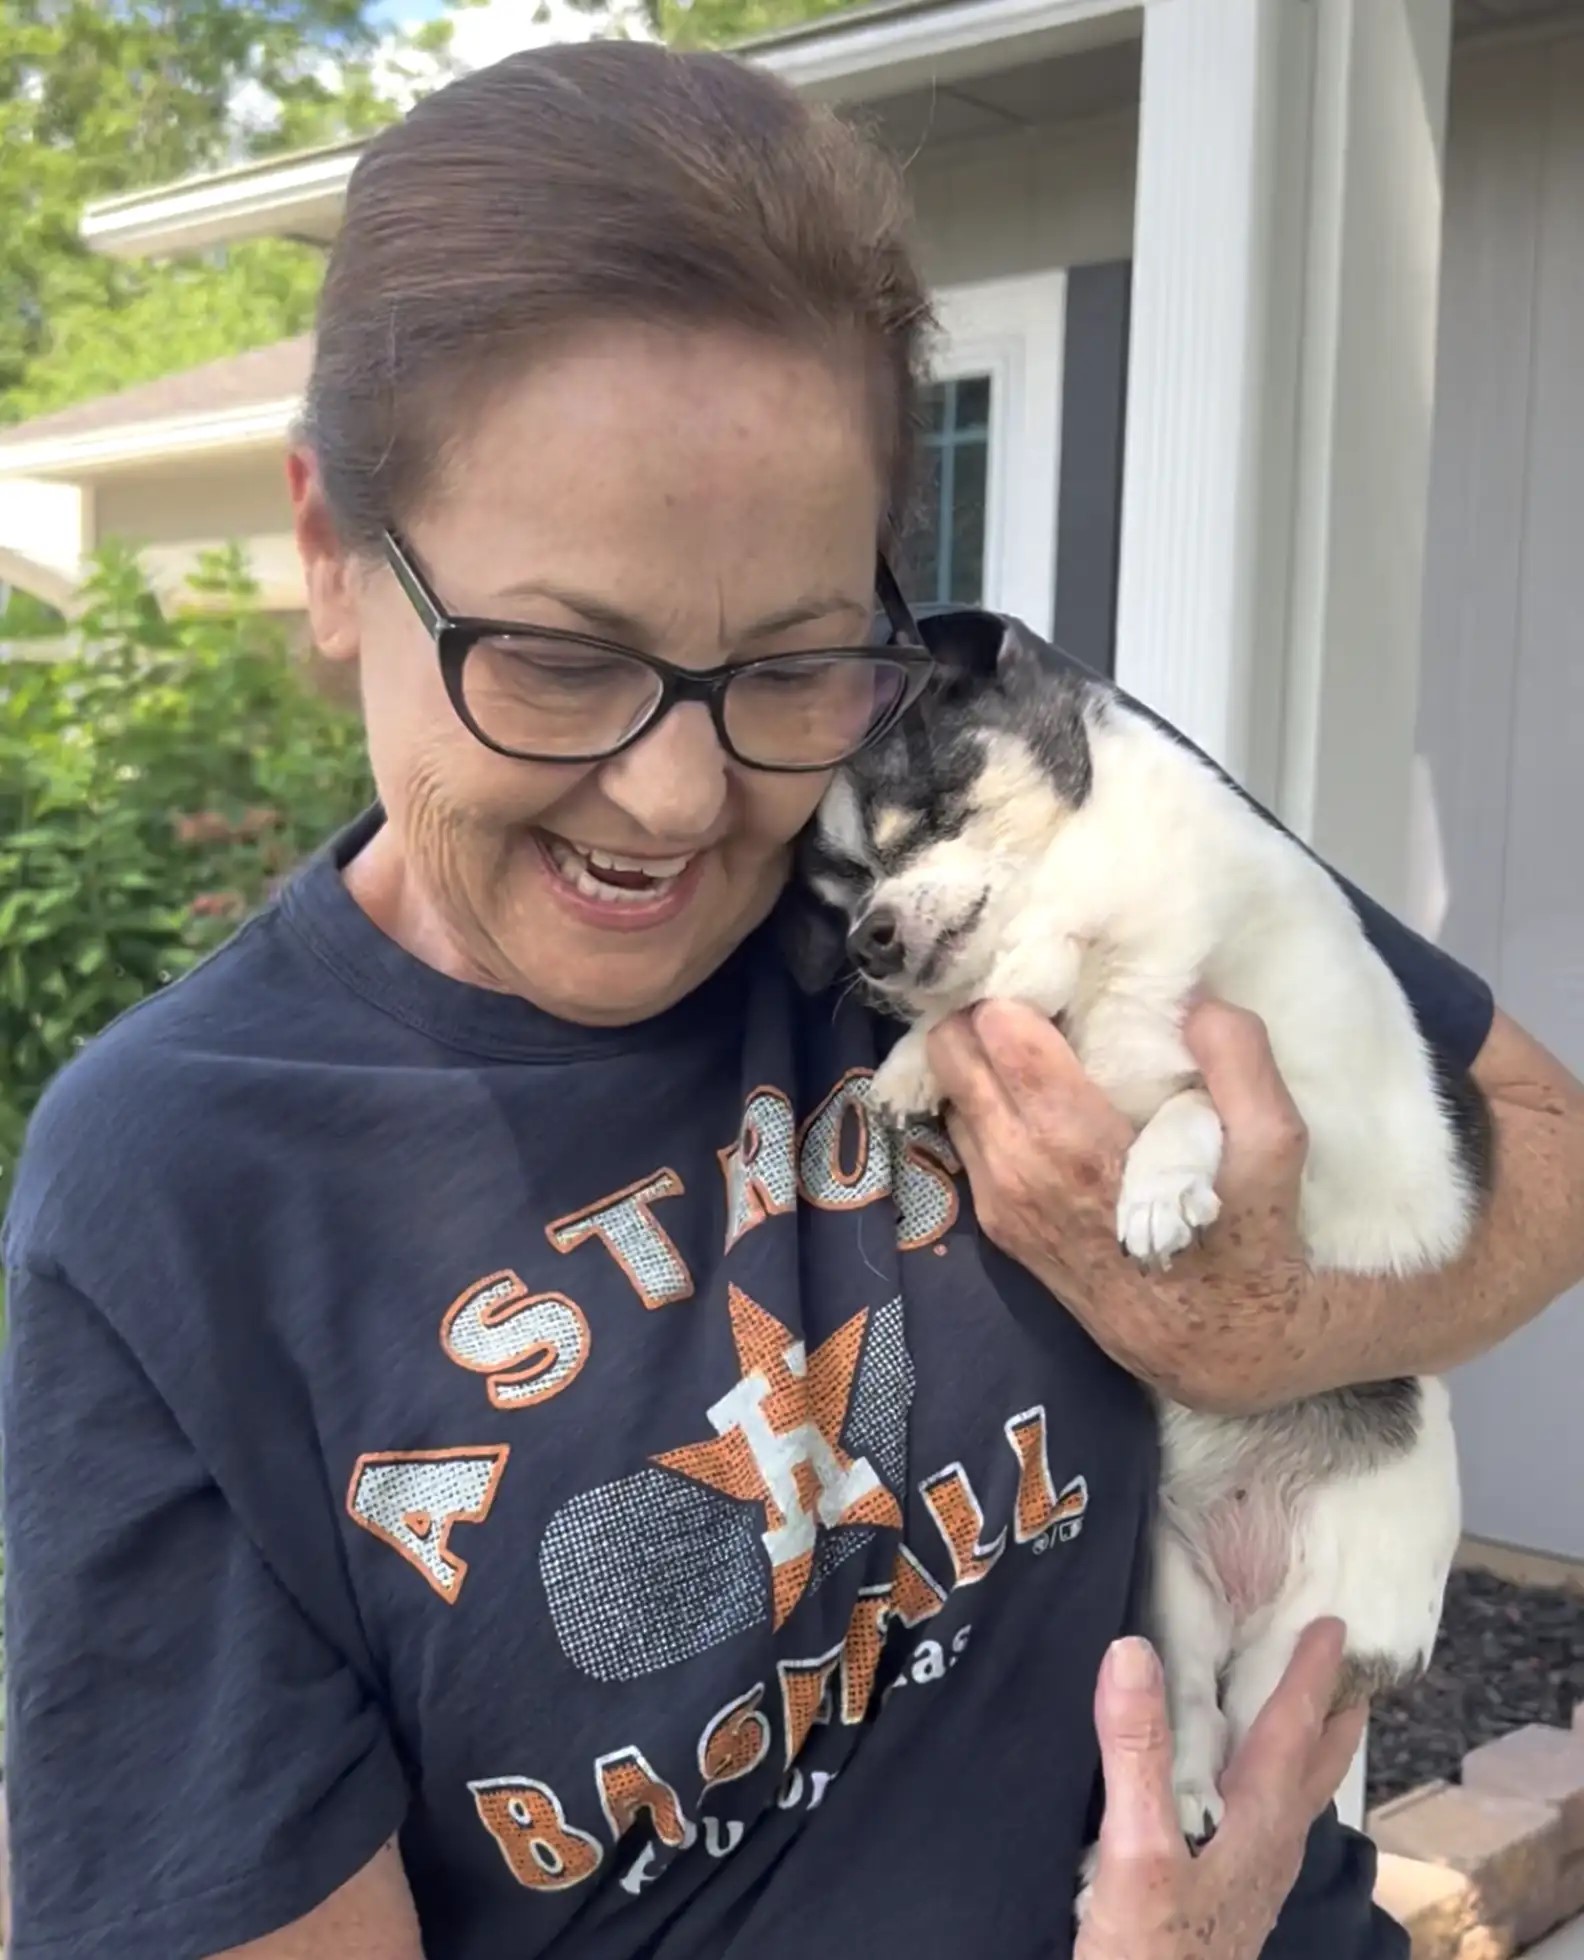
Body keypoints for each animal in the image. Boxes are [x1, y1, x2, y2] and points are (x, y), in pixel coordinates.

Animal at [784, 607, 1489, 1897]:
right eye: (842, 889)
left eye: (932, 812)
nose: (869, 937)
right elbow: (969, 1015)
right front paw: (911, 1065)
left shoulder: (1335, 1147)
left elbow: (1197, 1095)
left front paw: (1159, 1185)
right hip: (1176, 1592)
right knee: (1198, 1720)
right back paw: (1182, 1807)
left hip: (1317, 1634)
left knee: (1261, 1745)